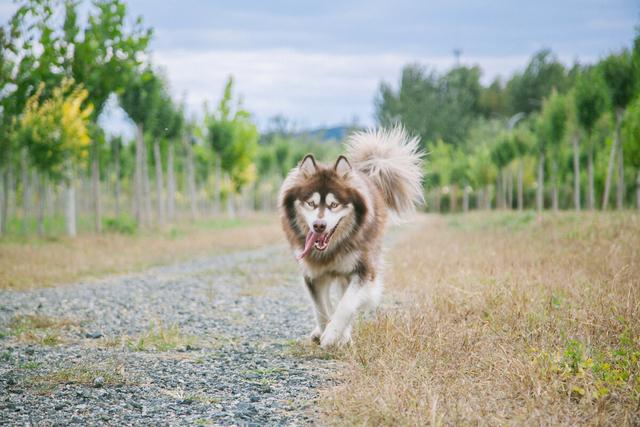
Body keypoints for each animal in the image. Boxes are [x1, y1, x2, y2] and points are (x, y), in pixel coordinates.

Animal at [276, 126, 422, 348]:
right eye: (311, 203)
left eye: (334, 205)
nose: (319, 226)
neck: (330, 250)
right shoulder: (313, 273)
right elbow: (321, 307)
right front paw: (324, 330)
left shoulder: (364, 271)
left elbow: (346, 305)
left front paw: (333, 335)